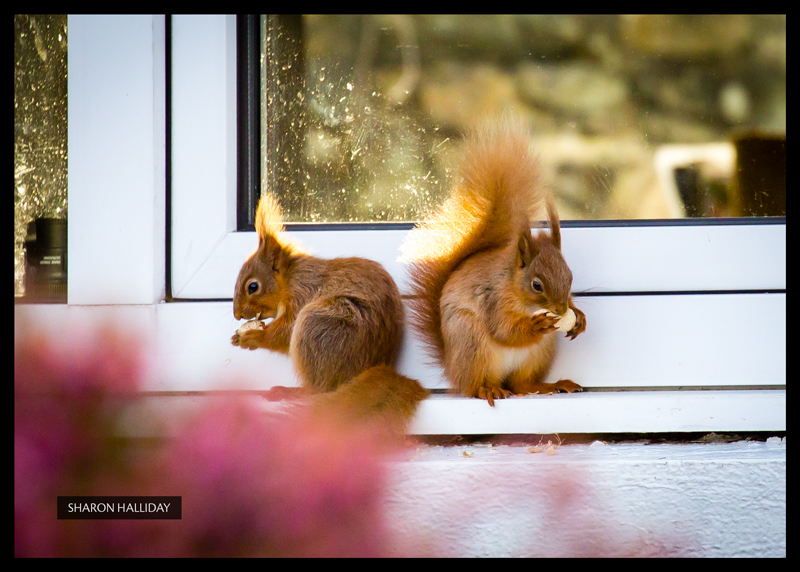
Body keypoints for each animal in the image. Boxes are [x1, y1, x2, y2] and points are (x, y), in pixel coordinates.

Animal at [231, 194, 428, 440]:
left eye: (253, 286)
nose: (237, 314)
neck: (291, 278)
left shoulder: (302, 295)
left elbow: (285, 333)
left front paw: (252, 338)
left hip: (319, 326)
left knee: (317, 389)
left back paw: (293, 391)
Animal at [404, 120, 584, 406]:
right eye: (536, 285)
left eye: (570, 277)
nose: (560, 309)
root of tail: (453, 369)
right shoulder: (493, 300)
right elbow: (504, 330)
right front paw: (536, 325)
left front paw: (580, 316)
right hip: (472, 342)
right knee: (475, 386)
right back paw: (487, 390)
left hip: (539, 353)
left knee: (523, 383)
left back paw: (551, 385)